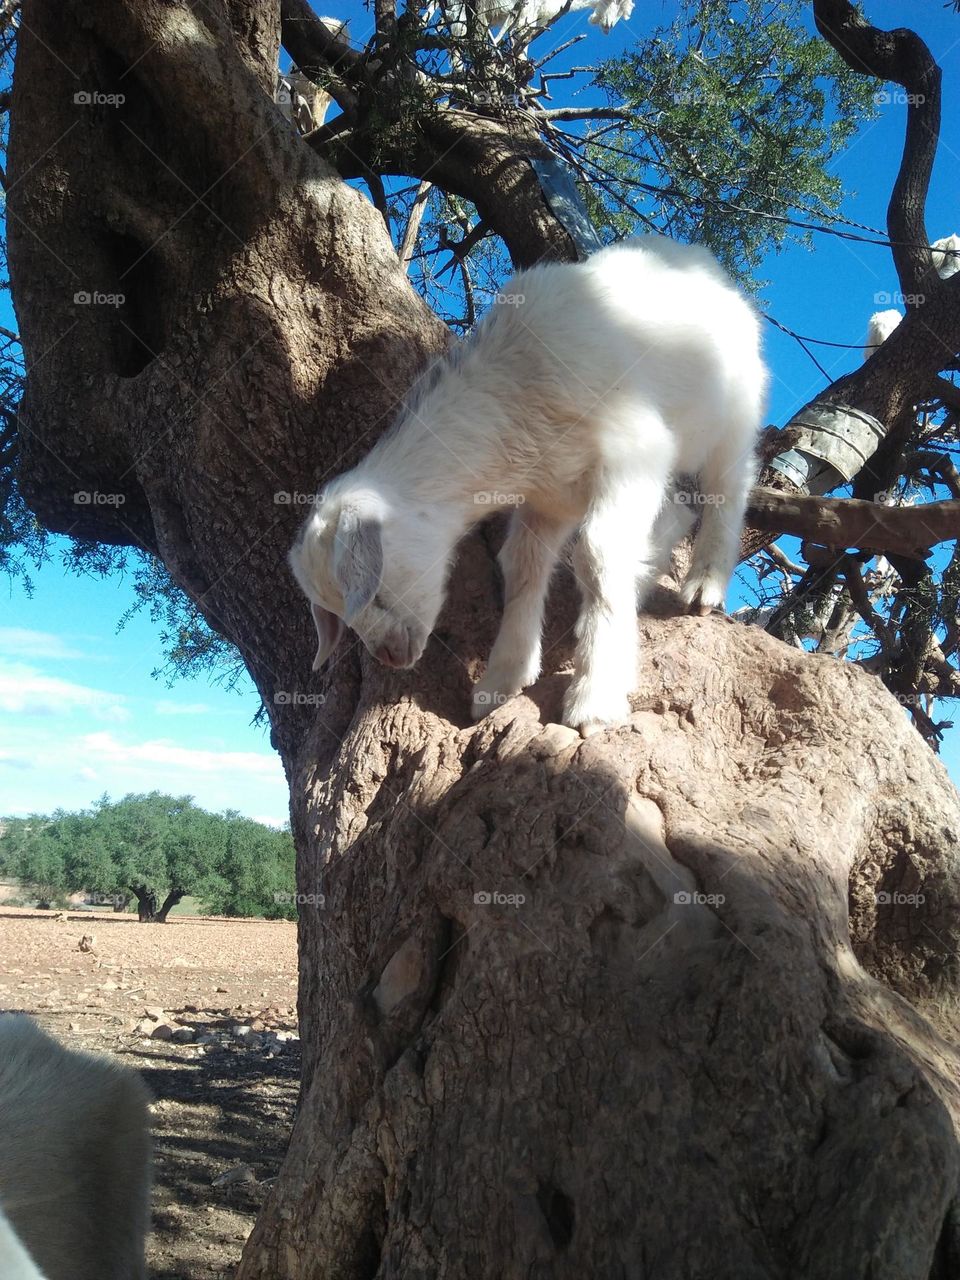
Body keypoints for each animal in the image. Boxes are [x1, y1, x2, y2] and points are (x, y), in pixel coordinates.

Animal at [289, 234, 766, 732]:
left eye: (375, 590)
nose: (391, 655)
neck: (512, 394)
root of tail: (697, 259)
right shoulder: (548, 496)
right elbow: (521, 565)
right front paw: (502, 681)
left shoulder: (634, 448)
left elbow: (596, 554)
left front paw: (595, 698)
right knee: (674, 513)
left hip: (736, 407)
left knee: (730, 485)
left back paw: (704, 584)